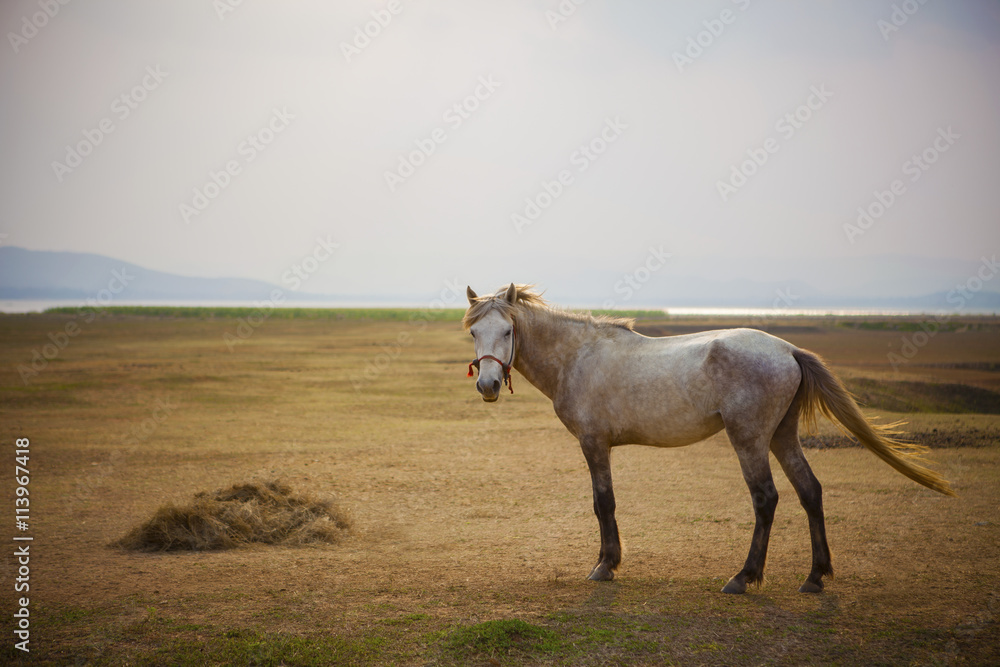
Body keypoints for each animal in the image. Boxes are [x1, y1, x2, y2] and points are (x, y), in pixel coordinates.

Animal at [464, 282, 956, 596]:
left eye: (507, 331)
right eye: (473, 331)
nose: (488, 385)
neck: (578, 356)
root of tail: (787, 350)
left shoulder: (594, 444)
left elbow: (603, 502)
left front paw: (606, 565)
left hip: (750, 440)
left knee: (766, 499)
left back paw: (744, 577)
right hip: (782, 437)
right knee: (810, 492)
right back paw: (814, 577)